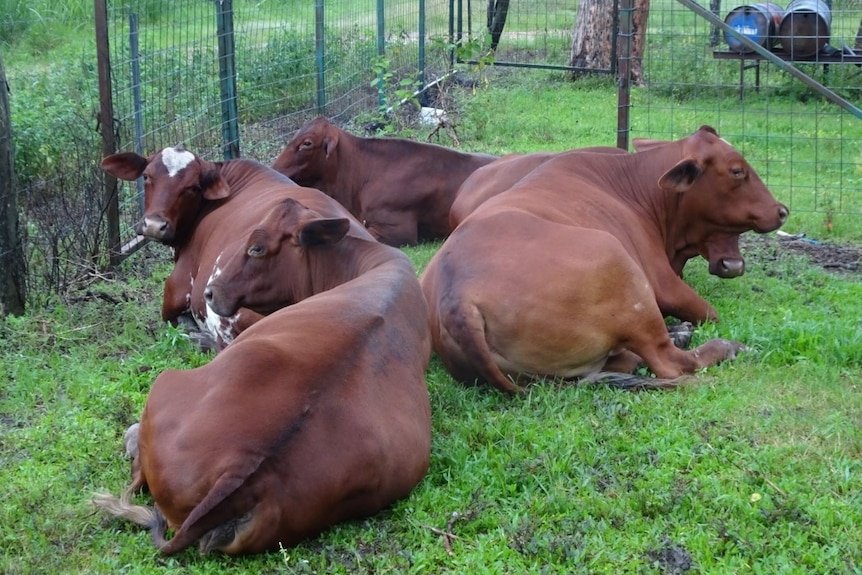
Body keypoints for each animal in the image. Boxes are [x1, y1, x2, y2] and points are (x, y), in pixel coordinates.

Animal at [422, 125, 792, 396]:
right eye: (737, 171)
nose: (782, 211)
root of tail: (457, 298)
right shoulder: (663, 281)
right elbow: (709, 313)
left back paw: (678, 333)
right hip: (619, 263)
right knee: (668, 361)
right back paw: (722, 346)